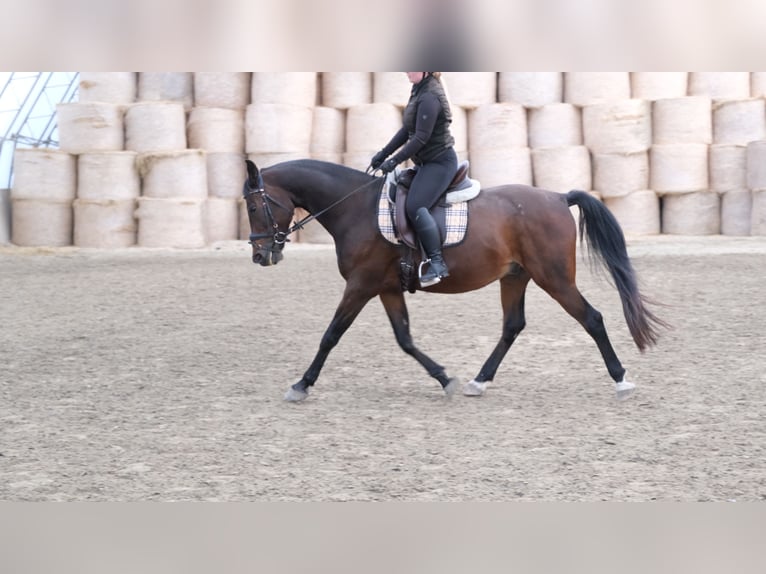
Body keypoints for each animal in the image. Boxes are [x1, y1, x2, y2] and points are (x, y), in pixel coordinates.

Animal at [242, 158, 667, 402]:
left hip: (555, 278)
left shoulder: (361, 285)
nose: (261, 256)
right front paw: (444, 377)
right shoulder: (387, 288)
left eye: (254, 205)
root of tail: (559, 197)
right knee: (512, 326)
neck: (354, 207)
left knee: (592, 318)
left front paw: (301, 385)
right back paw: (479, 381)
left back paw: (621, 380)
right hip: (516, 277)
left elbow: (331, 335)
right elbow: (405, 339)